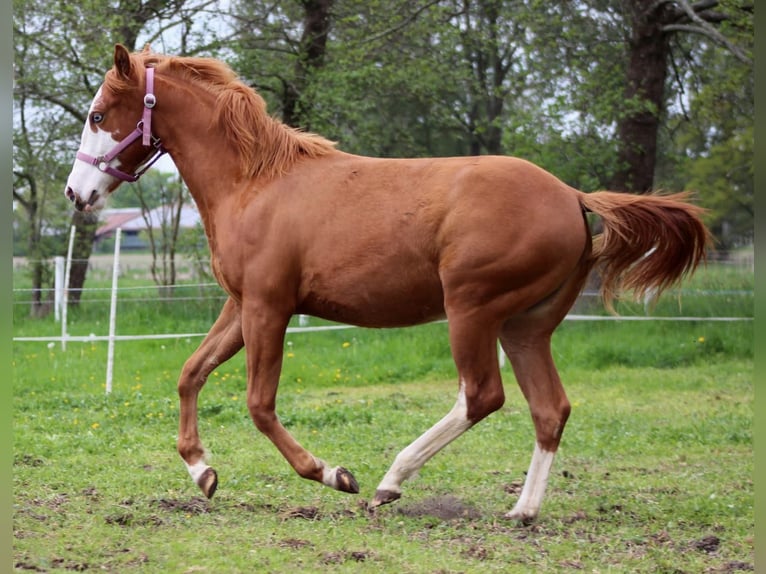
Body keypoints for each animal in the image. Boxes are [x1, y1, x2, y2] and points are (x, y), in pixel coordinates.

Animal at [64, 44, 710, 522]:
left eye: (98, 115)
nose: (77, 193)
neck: (255, 182)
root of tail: (574, 197)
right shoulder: (240, 305)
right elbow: (190, 374)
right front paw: (202, 471)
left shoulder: (270, 307)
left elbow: (259, 404)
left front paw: (332, 474)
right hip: (526, 326)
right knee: (549, 409)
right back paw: (521, 511)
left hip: (473, 309)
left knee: (483, 396)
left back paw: (390, 481)